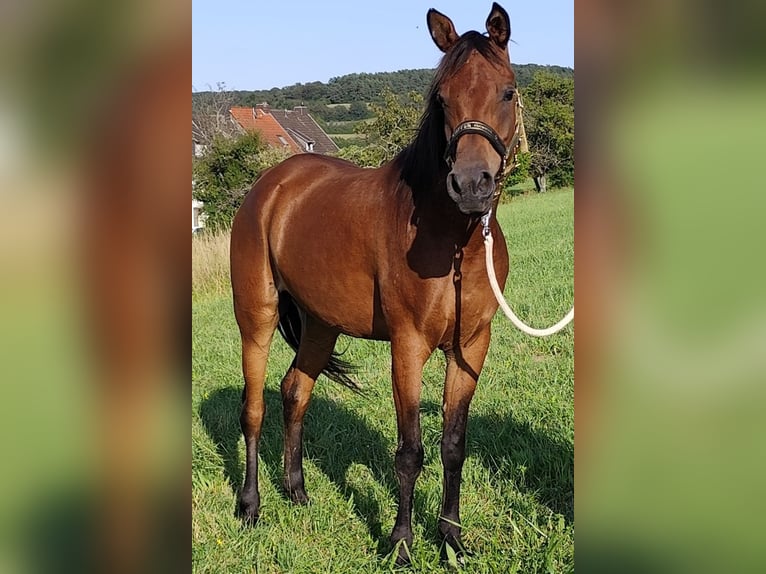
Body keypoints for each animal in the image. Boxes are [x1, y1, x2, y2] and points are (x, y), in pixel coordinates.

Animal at [234, 2, 520, 564]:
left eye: (508, 91)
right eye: (441, 98)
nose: (471, 185)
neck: (452, 241)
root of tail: (269, 186)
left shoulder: (470, 346)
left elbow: (453, 445)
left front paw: (451, 538)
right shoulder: (408, 346)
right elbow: (410, 451)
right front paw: (401, 543)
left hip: (322, 325)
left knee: (295, 391)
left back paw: (297, 492)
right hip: (257, 319)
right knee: (253, 409)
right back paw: (252, 507)